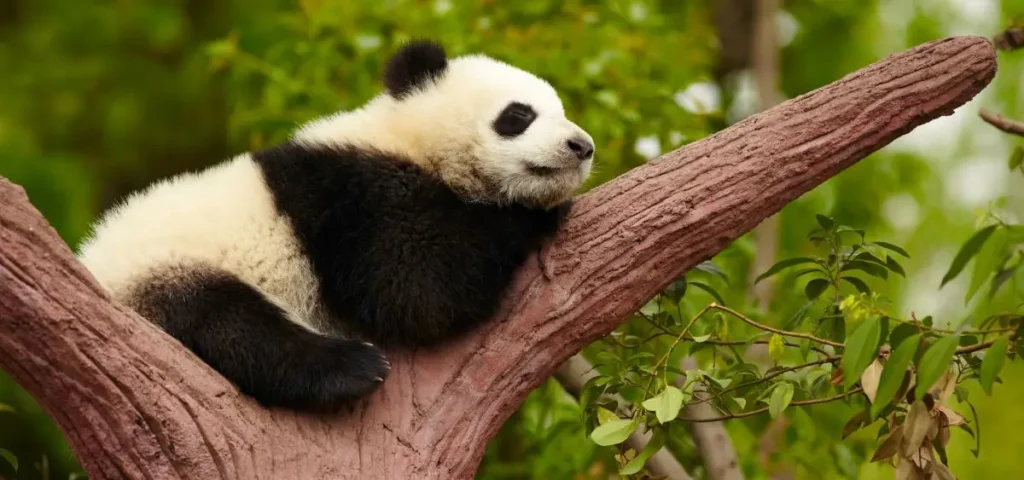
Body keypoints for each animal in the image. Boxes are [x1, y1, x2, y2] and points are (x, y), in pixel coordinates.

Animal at [76, 40, 595, 411]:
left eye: (563, 110)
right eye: (518, 115)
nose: (581, 146)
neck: (407, 138)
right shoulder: (354, 195)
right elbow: (417, 286)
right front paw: (533, 214)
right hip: (165, 270)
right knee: (228, 323)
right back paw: (353, 368)